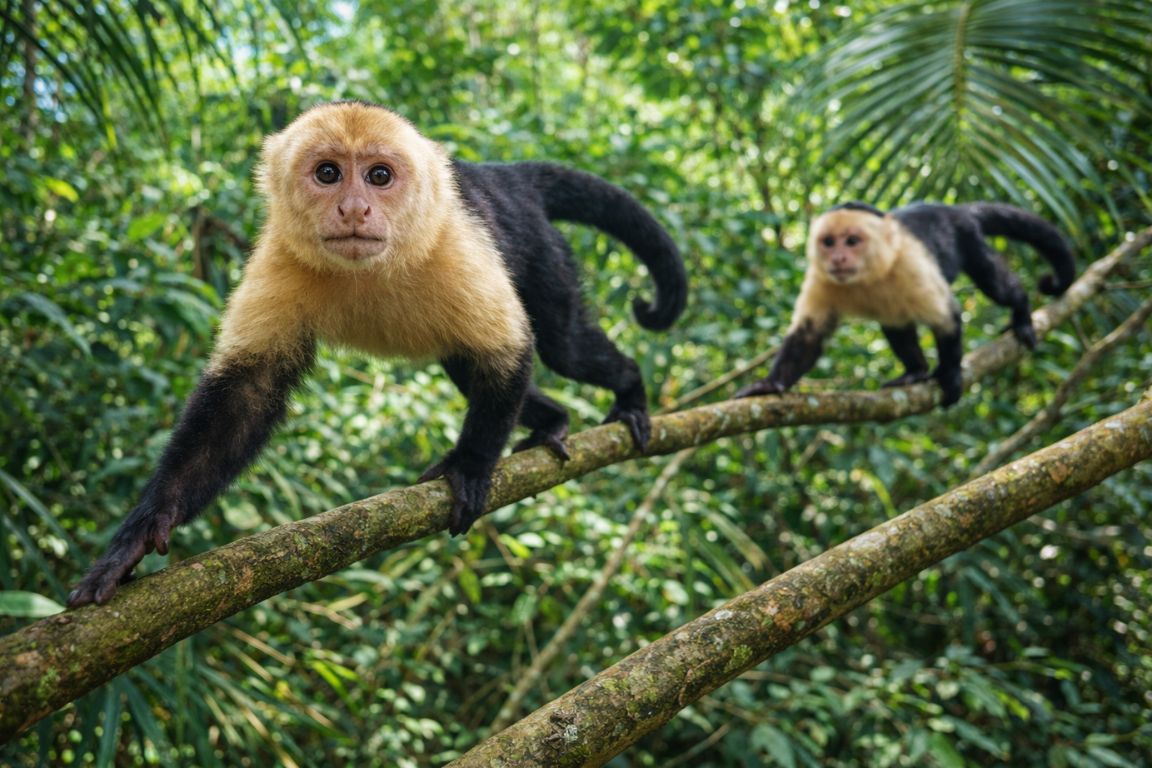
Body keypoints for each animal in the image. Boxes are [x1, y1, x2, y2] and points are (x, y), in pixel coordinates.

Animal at [67, 101, 687, 607]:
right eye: (328, 173)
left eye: (379, 176)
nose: (354, 209)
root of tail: (500, 173)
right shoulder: (280, 257)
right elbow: (246, 394)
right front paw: (140, 535)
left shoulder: (456, 241)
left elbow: (509, 350)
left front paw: (469, 465)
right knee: (466, 363)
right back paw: (553, 418)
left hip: (538, 246)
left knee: (560, 343)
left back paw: (630, 392)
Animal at [735, 201, 1074, 405]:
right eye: (828, 242)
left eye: (852, 241)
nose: (838, 257)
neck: (869, 275)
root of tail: (954, 209)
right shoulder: (822, 278)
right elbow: (807, 336)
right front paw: (770, 385)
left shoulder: (911, 263)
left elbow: (946, 317)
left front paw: (950, 375)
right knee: (893, 320)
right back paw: (915, 371)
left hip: (968, 237)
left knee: (993, 282)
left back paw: (1021, 312)